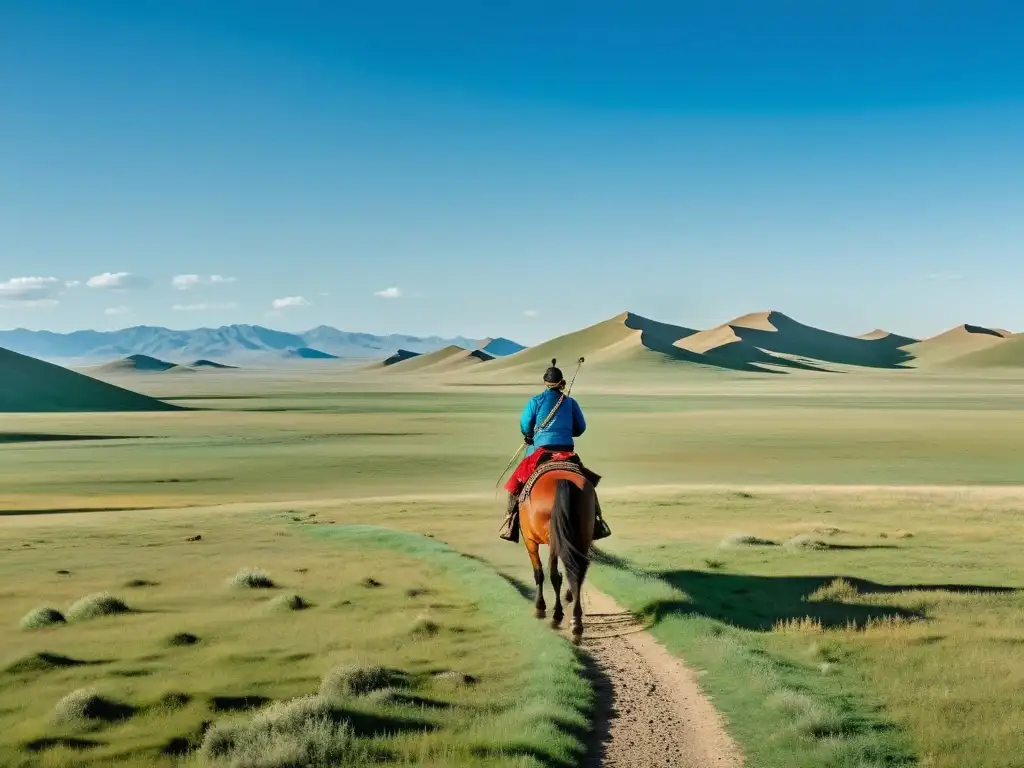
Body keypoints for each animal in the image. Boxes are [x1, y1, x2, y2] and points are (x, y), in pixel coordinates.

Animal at [520, 466, 598, 638]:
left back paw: (556, 615)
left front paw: (540, 607)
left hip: (553, 538)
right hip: (583, 536)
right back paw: (576, 622)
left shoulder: (529, 540)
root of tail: (563, 481)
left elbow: (539, 572)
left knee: (555, 574)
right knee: (578, 571)